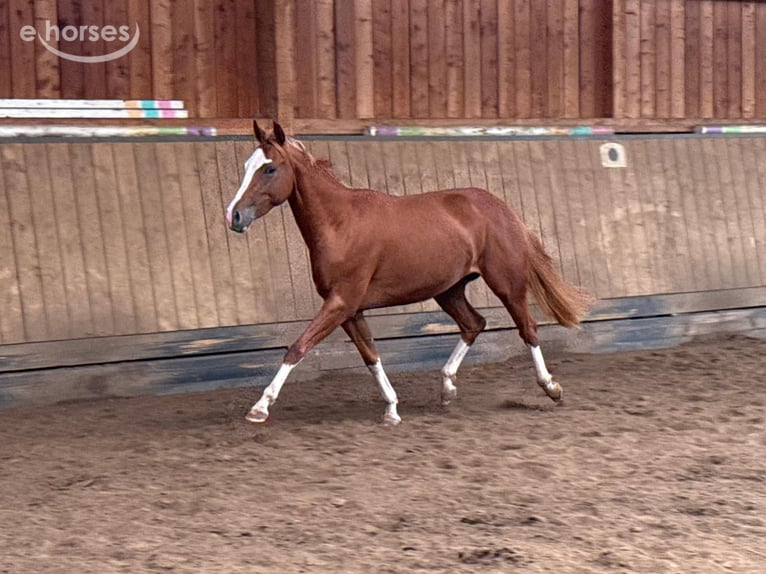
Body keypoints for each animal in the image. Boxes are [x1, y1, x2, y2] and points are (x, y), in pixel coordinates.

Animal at [226, 120, 590, 425]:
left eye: (269, 168)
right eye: (245, 166)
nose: (234, 216)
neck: (340, 224)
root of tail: (503, 209)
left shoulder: (341, 303)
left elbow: (297, 348)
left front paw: (260, 407)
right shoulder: (350, 311)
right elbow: (370, 356)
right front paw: (391, 409)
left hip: (506, 284)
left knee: (527, 329)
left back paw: (551, 387)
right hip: (449, 290)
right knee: (474, 324)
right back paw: (446, 389)